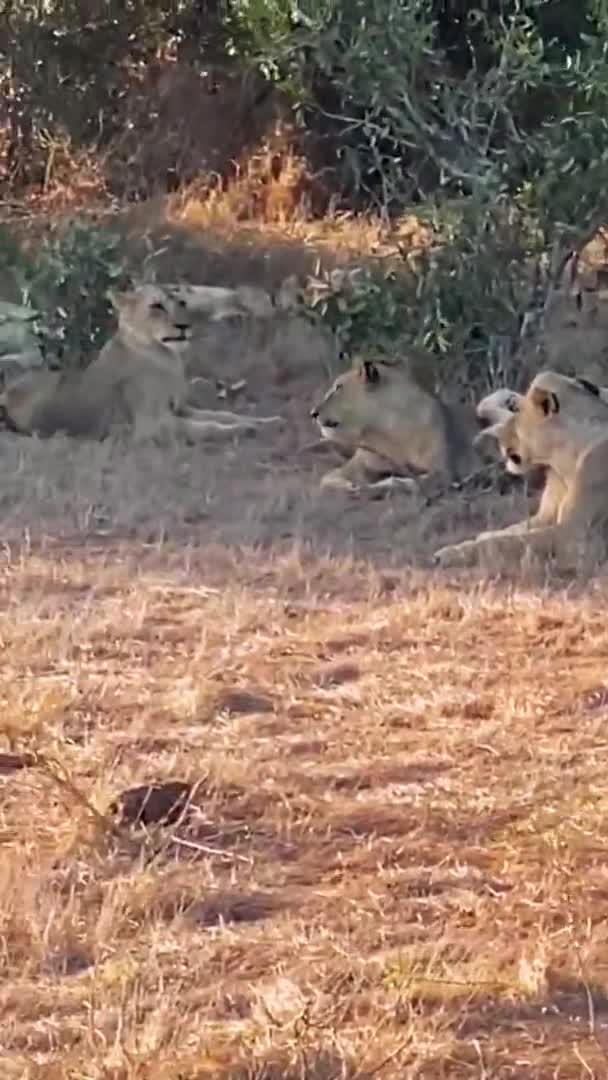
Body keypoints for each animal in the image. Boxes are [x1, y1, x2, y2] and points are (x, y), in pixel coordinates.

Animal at [308, 356, 490, 492]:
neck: (388, 428)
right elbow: (328, 479)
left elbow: (417, 481)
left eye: (338, 388)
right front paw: (350, 486)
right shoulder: (356, 465)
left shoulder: (443, 470)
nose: (313, 413)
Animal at [436, 371, 608, 570]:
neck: (564, 462)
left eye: (516, 410)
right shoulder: (545, 517)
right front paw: (478, 537)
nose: (497, 438)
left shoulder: (575, 534)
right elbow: (511, 530)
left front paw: (447, 554)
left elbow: (511, 541)